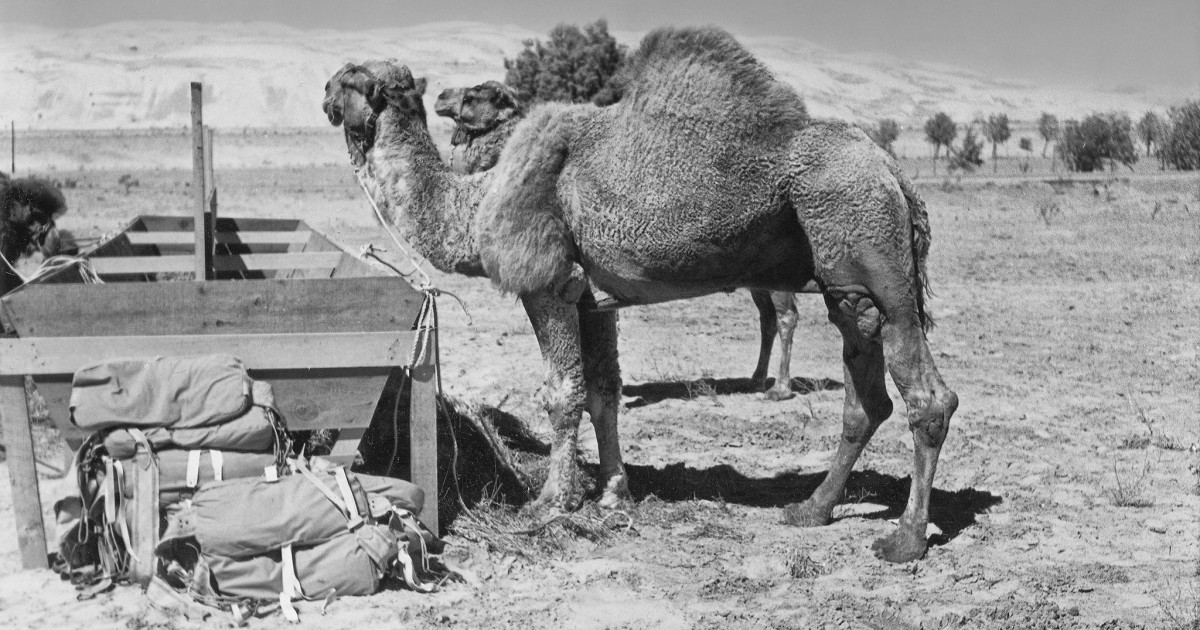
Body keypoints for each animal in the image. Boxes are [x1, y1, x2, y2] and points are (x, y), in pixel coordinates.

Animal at [436, 79, 801, 398]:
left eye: (472, 96)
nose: (439, 96)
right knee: (767, 317)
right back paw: (756, 380)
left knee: (786, 316)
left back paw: (781, 389)